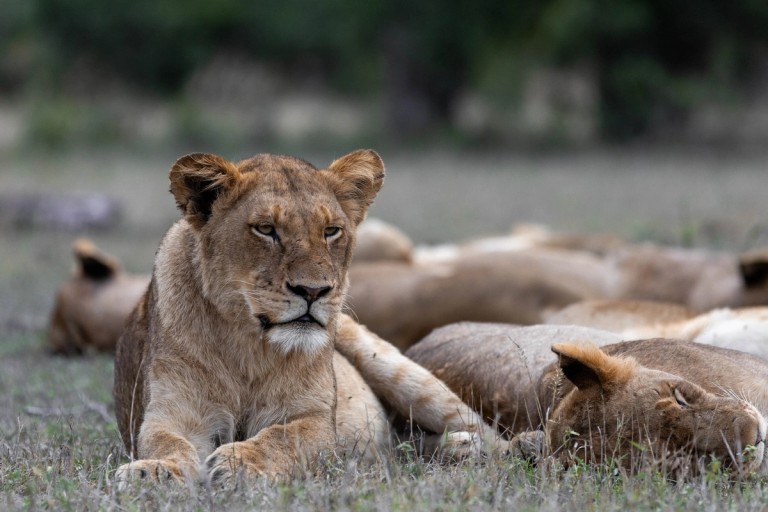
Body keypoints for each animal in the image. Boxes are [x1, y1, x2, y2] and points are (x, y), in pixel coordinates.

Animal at [113, 150, 500, 486]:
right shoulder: (174, 413)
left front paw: (239, 462)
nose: (313, 291)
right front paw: (152, 470)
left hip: (400, 373)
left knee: (490, 437)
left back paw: (473, 447)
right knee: (401, 446)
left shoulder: (316, 419)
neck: (247, 346)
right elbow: (168, 443)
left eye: (331, 231)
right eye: (266, 229)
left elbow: (282, 437)